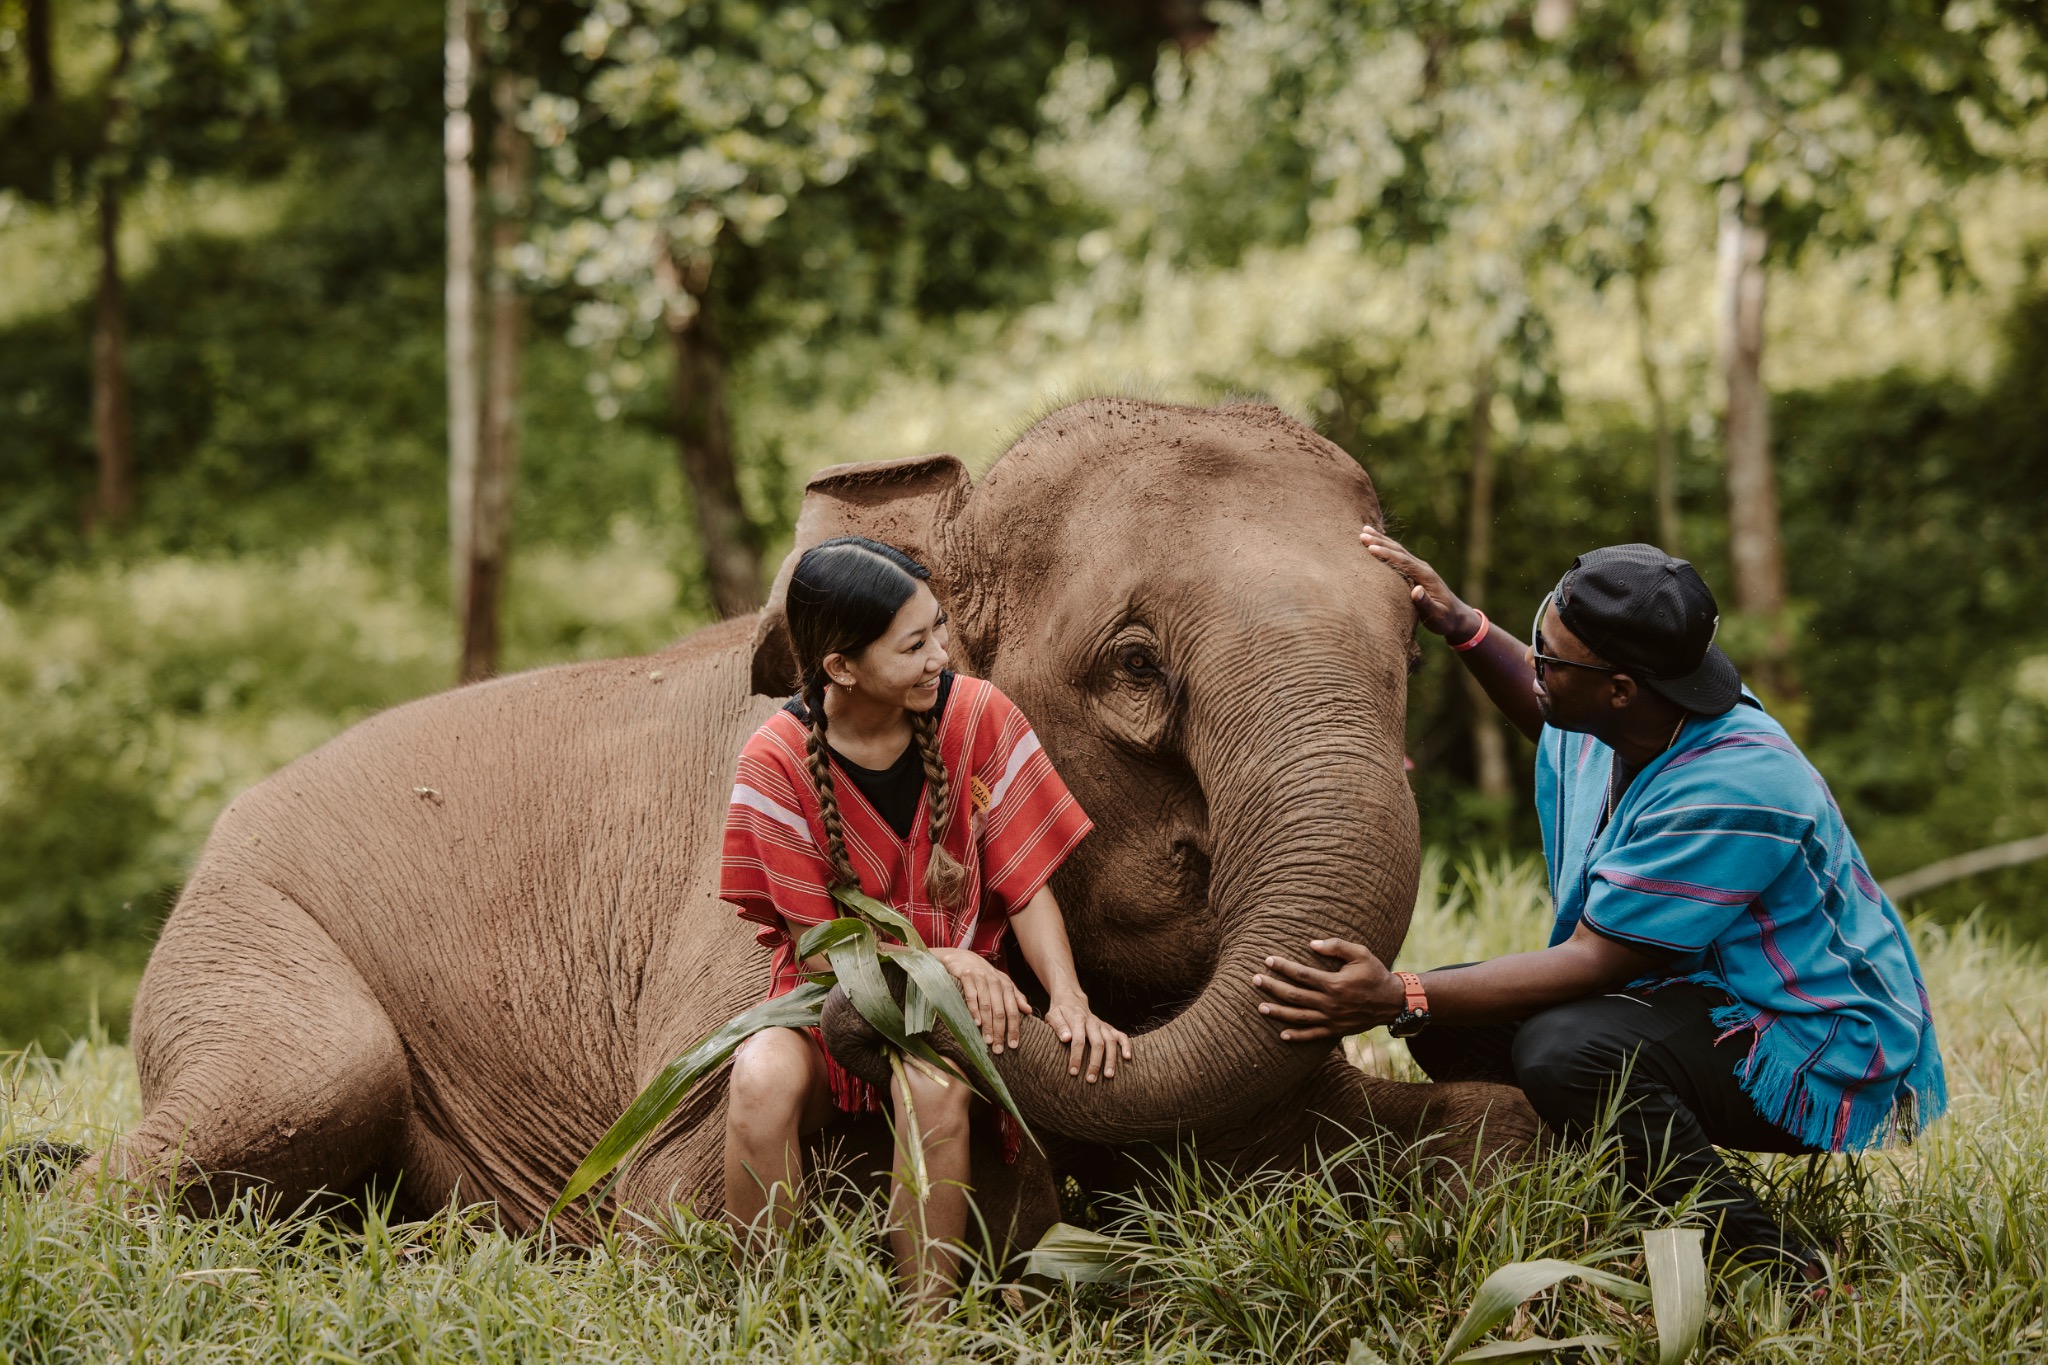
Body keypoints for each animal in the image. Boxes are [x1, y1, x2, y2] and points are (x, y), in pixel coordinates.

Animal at [81, 396, 1538, 1250]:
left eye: (1410, 640)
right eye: (1135, 666)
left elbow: (1477, 1122)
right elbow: (675, 1195)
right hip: (239, 938)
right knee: (305, 1080)